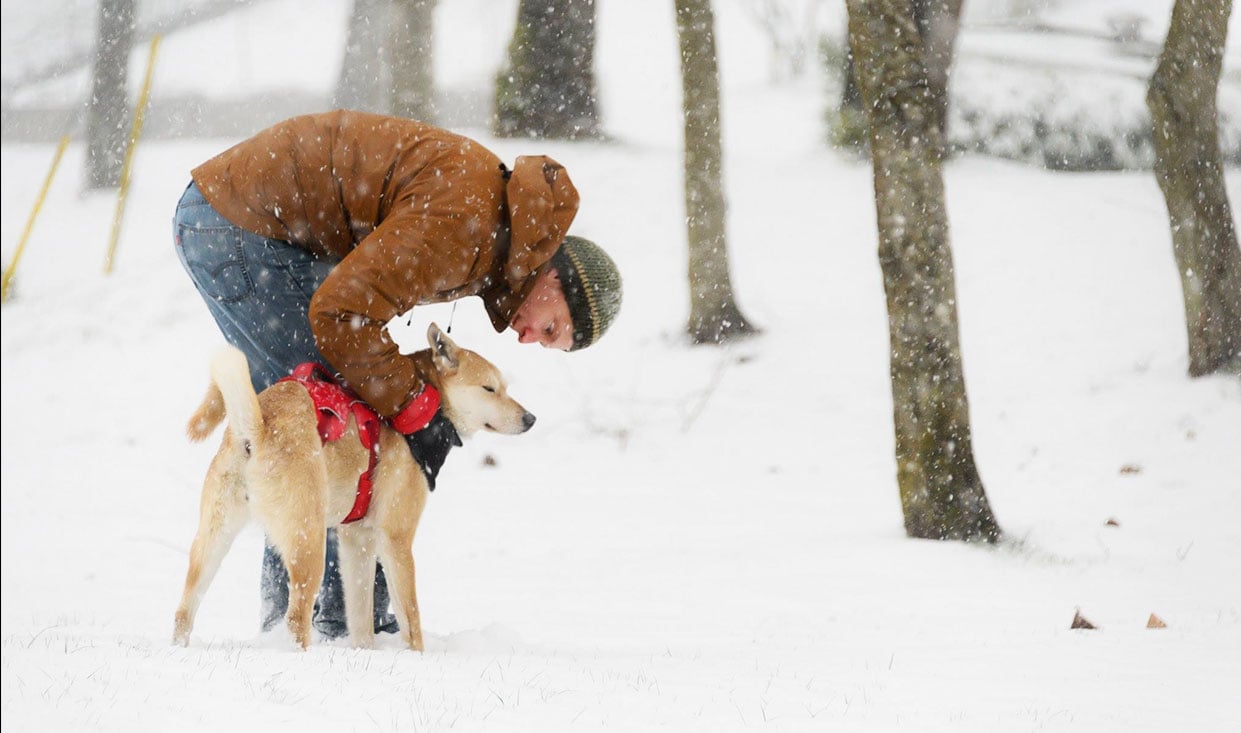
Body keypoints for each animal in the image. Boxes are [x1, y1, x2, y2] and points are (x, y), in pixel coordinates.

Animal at [171, 324, 533, 649]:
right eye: (489, 389)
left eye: (504, 387)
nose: (530, 419)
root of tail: (257, 430)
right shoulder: (395, 537)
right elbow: (411, 619)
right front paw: (417, 658)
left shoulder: (356, 539)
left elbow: (360, 618)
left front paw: (365, 654)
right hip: (309, 544)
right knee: (296, 618)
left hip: (213, 541)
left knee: (184, 611)